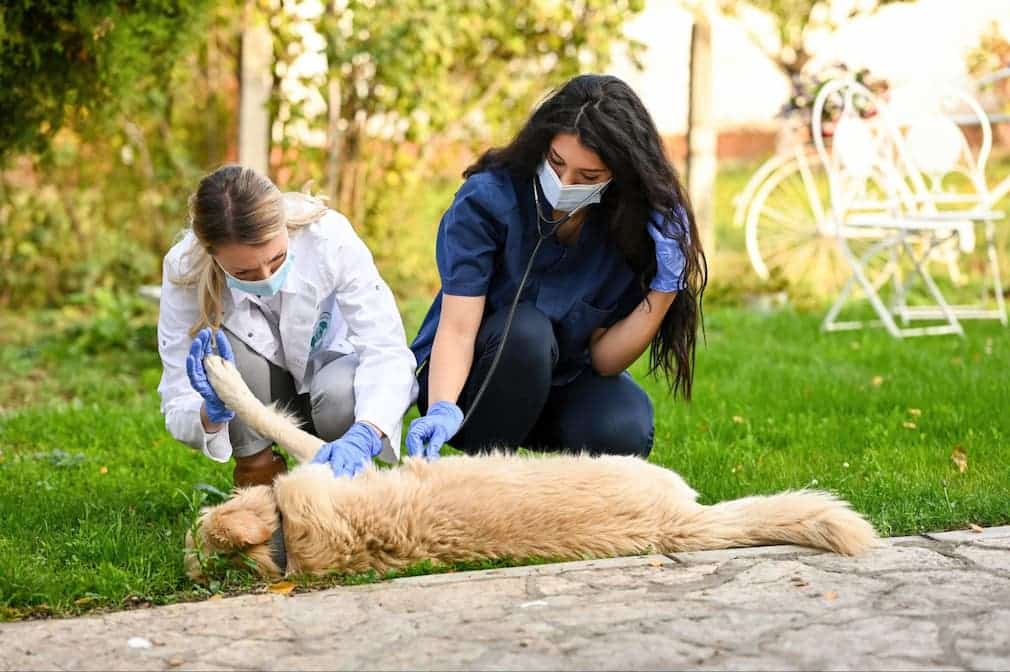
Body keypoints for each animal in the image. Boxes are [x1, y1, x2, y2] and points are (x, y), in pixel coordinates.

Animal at [185, 353, 880, 578]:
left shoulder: (333, 465)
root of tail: (683, 525)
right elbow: (273, 416)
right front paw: (220, 375)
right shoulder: (331, 469)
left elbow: (274, 418)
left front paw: (216, 374)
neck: (287, 543)